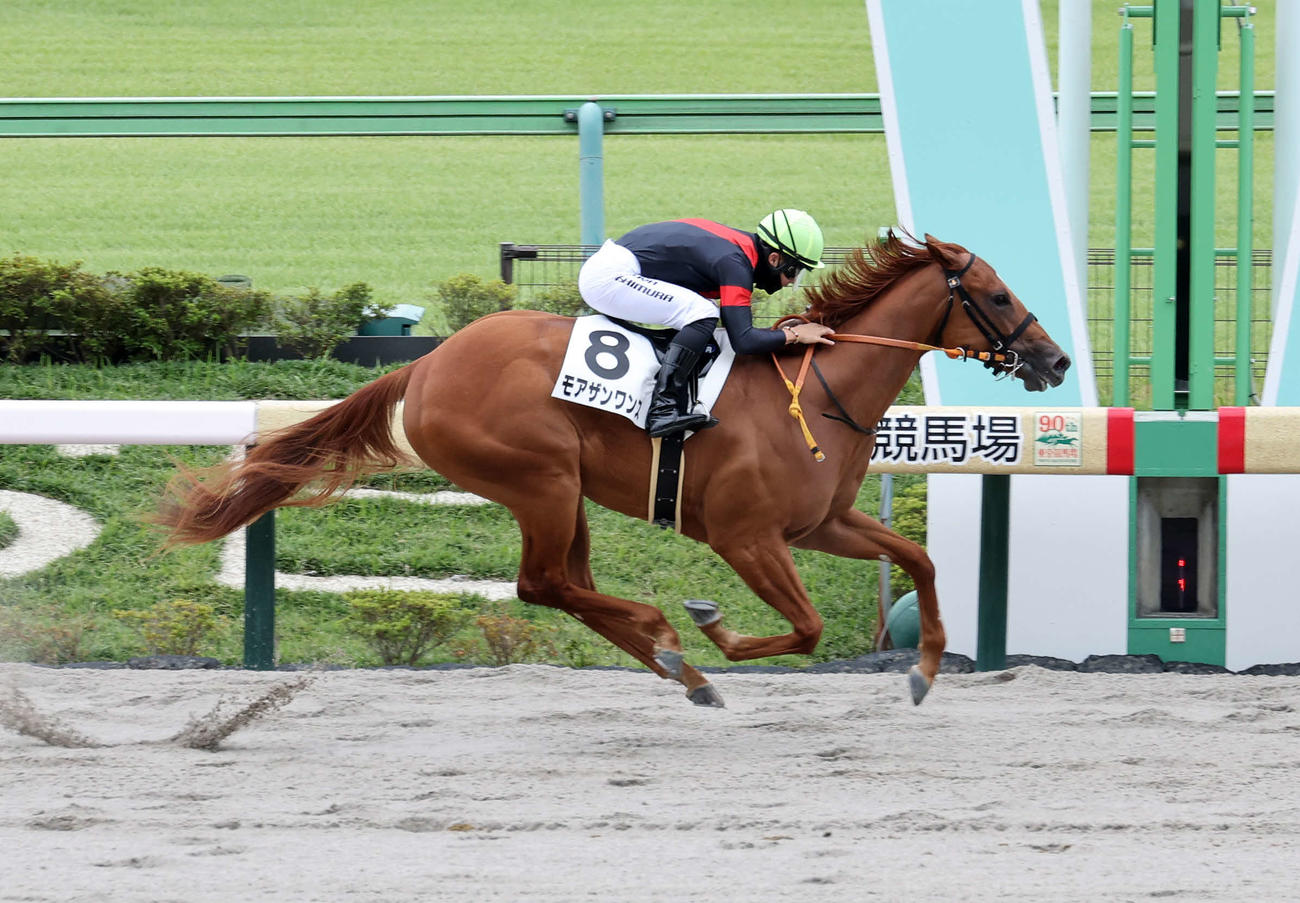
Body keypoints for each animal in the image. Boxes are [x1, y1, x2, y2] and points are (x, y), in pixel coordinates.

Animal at [155, 231, 1071, 707]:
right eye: (994, 293)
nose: (1055, 359)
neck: (818, 392)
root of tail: (426, 364)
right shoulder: (746, 536)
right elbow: (807, 626)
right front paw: (715, 626)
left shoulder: (822, 522)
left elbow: (919, 558)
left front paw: (924, 669)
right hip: (543, 478)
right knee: (542, 584)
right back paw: (672, 637)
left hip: (568, 494)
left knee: (568, 585)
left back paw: (677, 664)